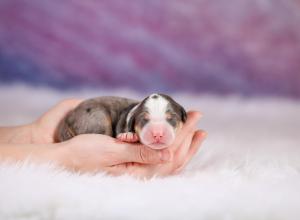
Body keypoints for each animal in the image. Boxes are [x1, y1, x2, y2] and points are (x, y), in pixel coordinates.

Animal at [55, 93, 186, 150]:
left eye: (171, 118)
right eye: (144, 119)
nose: (157, 134)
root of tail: (68, 118)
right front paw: (129, 136)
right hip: (98, 117)